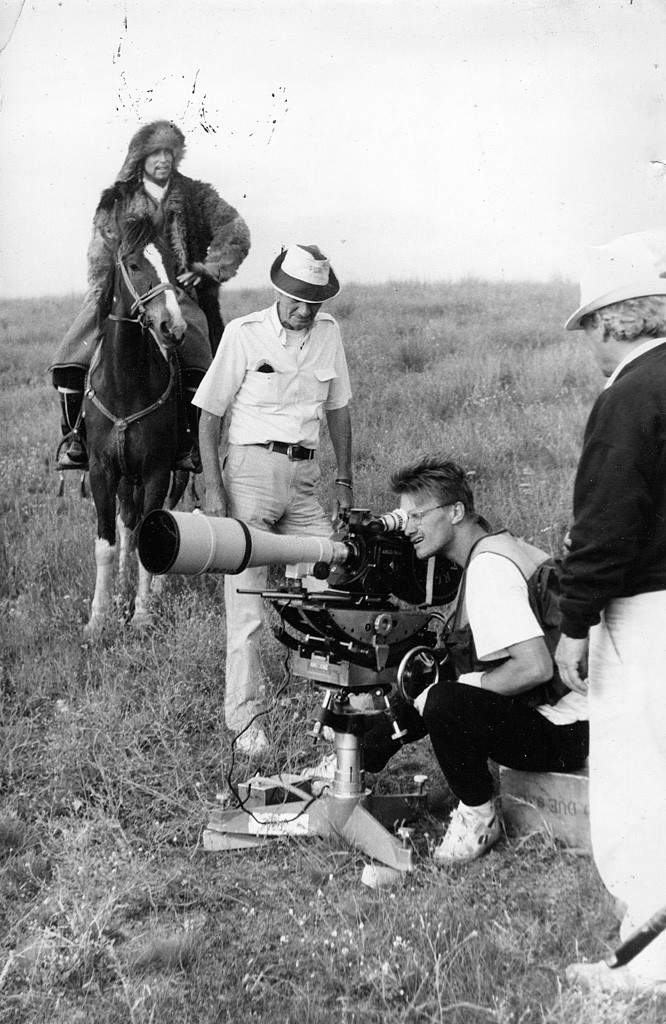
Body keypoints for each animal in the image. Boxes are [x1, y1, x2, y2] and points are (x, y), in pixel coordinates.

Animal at [82, 217, 188, 638]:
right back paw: (122, 591)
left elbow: (153, 533)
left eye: (174, 266)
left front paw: (142, 616)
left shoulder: (158, 471)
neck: (126, 383)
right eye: (133, 264)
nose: (173, 327)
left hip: (176, 474)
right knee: (127, 524)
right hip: (127, 480)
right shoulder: (102, 470)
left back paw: (155, 590)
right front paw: (99, 618)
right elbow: (107, 543)